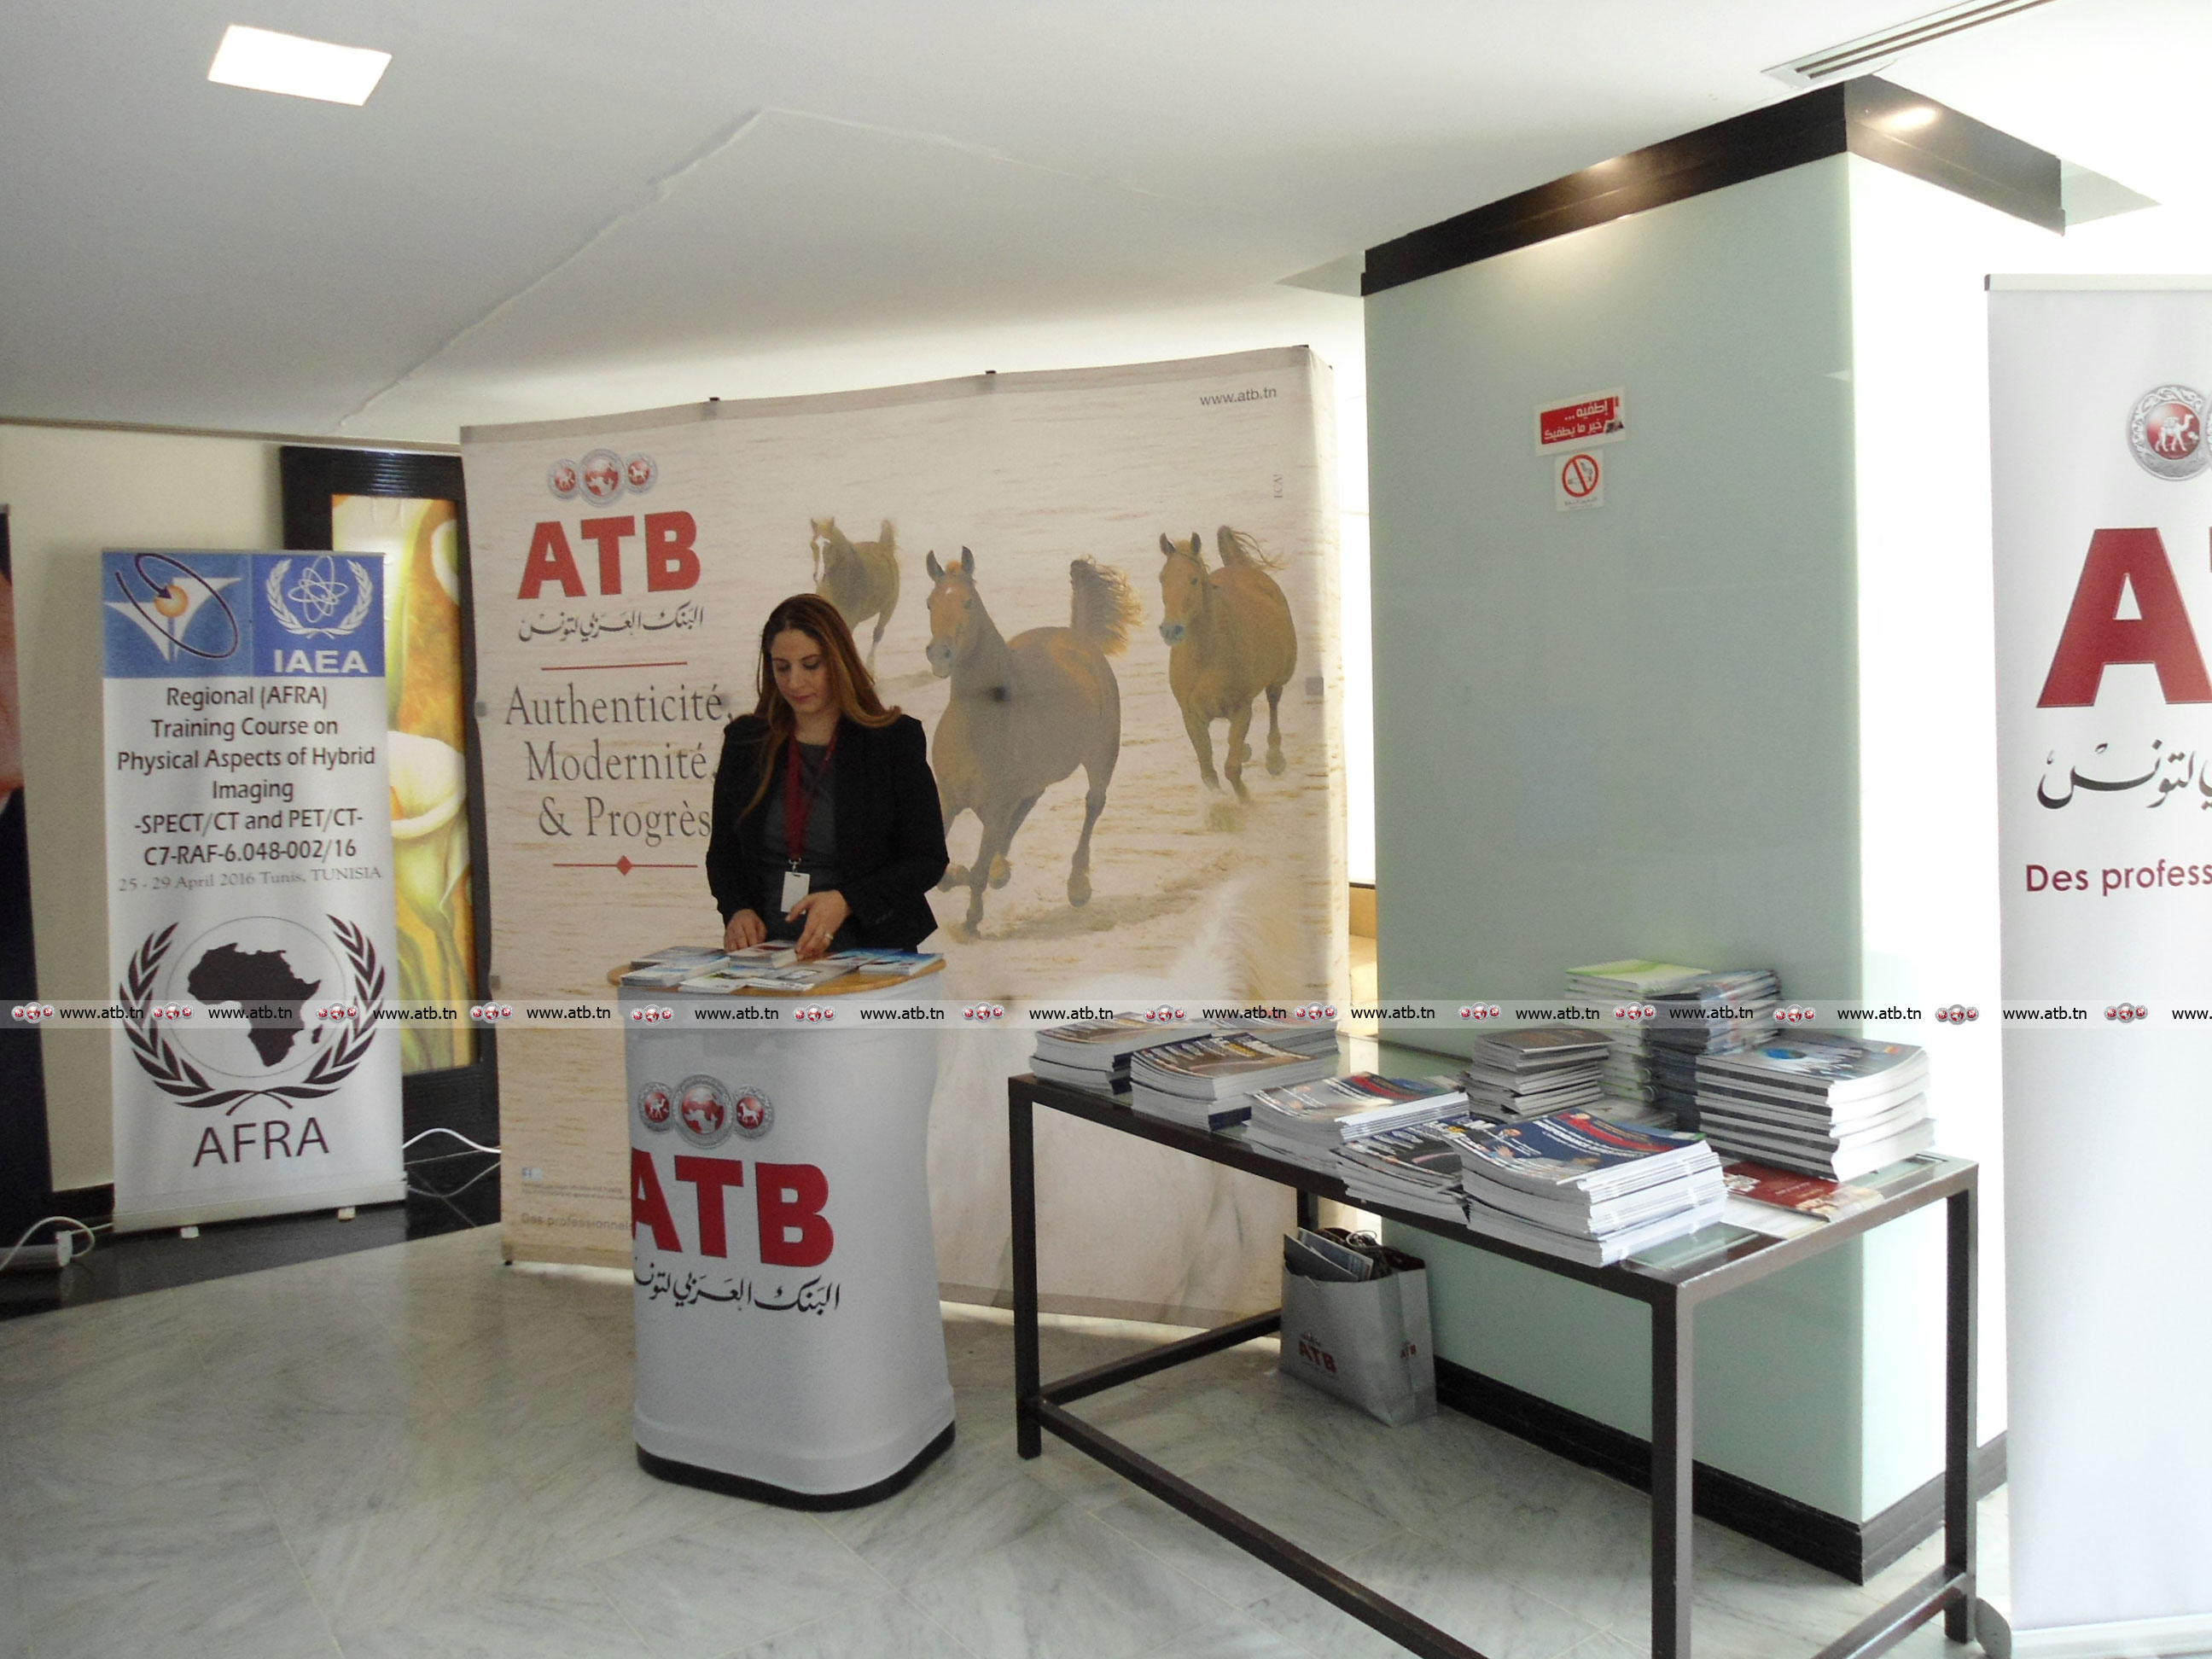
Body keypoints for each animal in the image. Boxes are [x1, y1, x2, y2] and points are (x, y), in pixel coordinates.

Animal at [809, 517, 900, 666]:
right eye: (812, 545)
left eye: (830, 545)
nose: (819, 576)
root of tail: (885, 548)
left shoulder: (849, 621)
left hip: (888, 608)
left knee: (877, 633)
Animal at [924, 548, 1138, 936]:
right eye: (930, 603)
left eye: (967, 603)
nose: (939, 654)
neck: (977, 724)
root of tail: (1078, 638)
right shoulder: (947, 799)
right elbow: (946, 872)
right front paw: (973, 878)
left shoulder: (996, 808)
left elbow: (974, 872)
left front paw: (971, 920)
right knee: (1030, 804)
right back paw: (1002, 870)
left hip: (1102, 757)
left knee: (1093, 805)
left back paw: (1077, 887)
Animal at [1157, 526, 1298, 799]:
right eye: (1162, 579)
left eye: (1193, 579)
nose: (1171, 630)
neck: (1205, 656)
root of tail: (1239, 565)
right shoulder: (1192, 715)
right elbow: (1208, 772)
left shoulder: (1242, 709)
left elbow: (1231, 769)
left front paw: (1246, 802)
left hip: (1279, 677)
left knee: (1273, 701)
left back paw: (1274, 759)